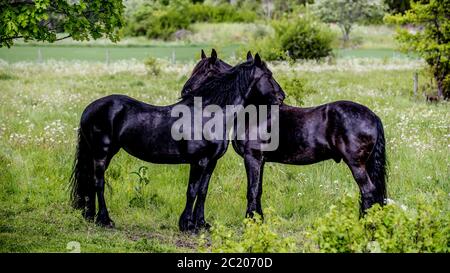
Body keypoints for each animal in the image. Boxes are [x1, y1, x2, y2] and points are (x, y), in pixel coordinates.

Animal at [70, 50, 284, 230]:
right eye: (269, 75)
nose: (282, 97)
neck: (209, 114)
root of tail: (89, 109)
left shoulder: (211, 162)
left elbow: (203, 191)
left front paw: (201, 224)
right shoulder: (198, 161)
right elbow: (192, 191)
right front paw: (187, 225)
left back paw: (91, 216)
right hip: (102, 153)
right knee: (98, 183)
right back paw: (105, 220)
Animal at [180, 51, 386, 217]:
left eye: (206, 72)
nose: (185, 92)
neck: (255, 113)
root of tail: (373, 115)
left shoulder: (252, 158)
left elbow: (251, 191)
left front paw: (250, 220)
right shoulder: (261, 160)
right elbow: (258, 190)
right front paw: (259, 219)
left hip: (356, 164)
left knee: (368, 191)